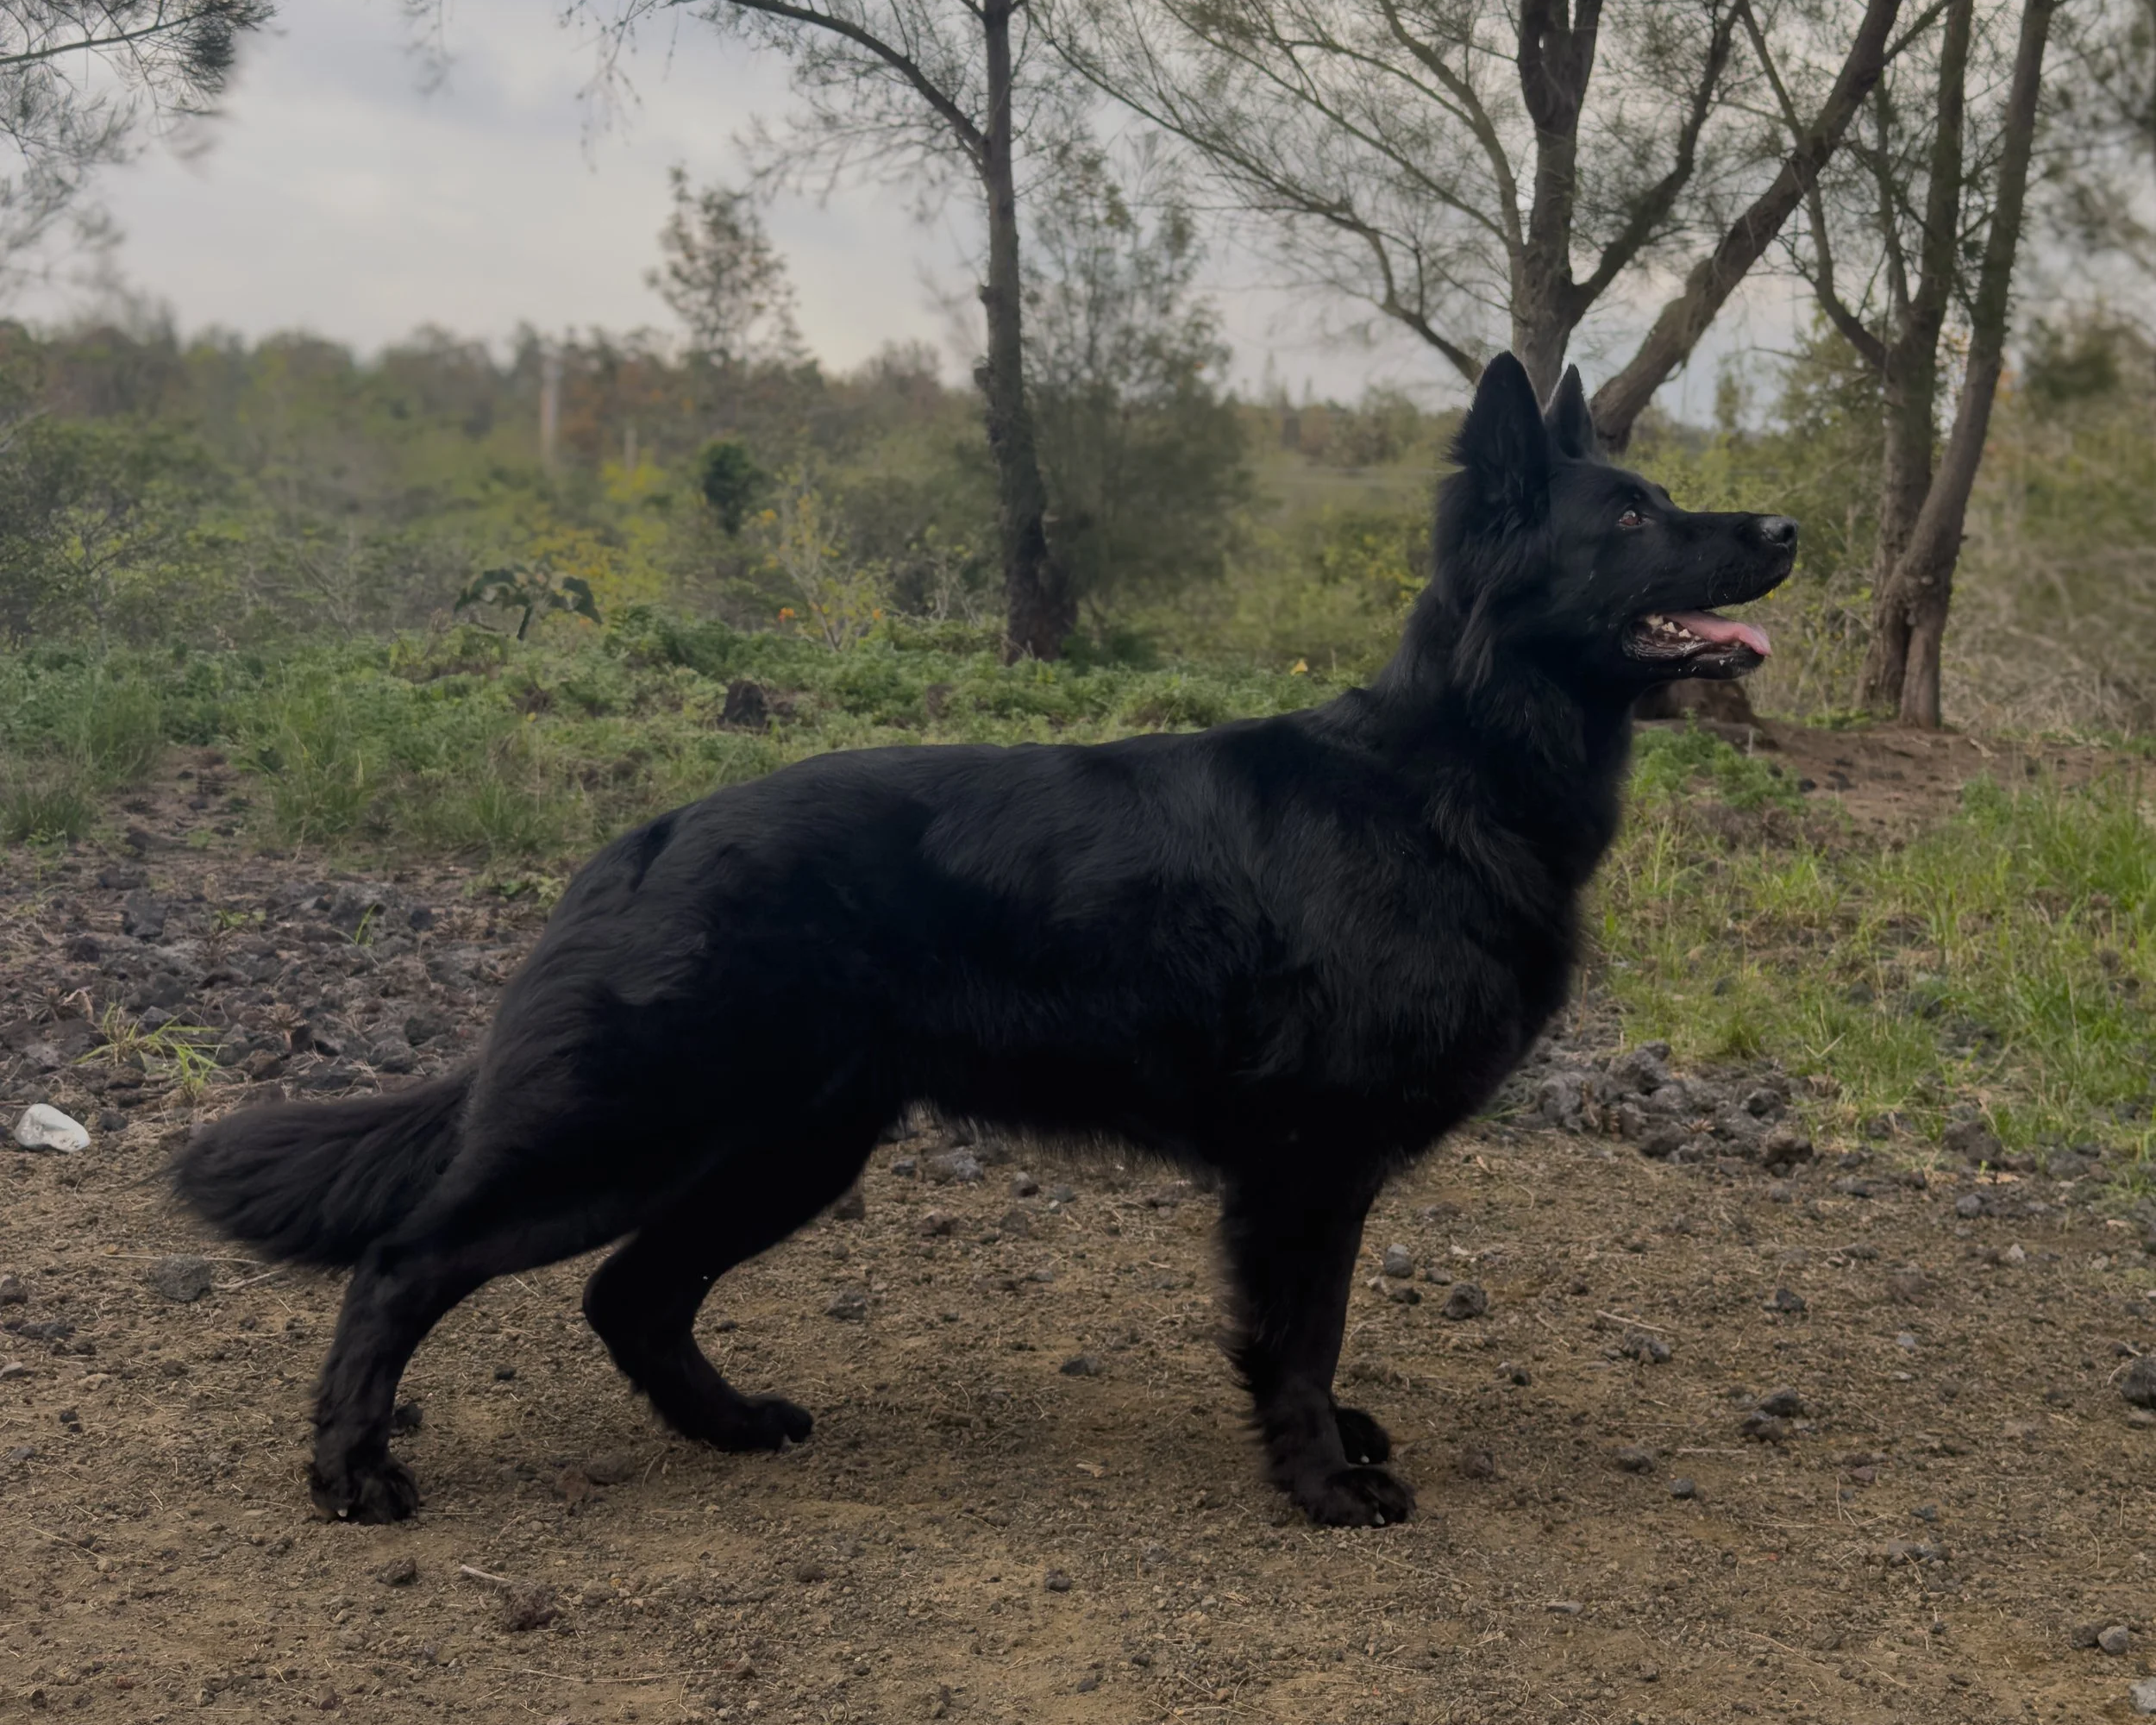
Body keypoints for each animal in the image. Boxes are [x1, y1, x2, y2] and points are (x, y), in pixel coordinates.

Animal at [174, 353, 1795, 1528]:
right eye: (1631, 520)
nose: (1786, 526)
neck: (1451, 771)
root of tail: (647, 840)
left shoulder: (1309, 1174)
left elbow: (1312, 1335)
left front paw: (1333, 1445)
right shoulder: (1305, 1166)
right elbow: (1301, 1335)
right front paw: (1322, 1481)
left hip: (785, 1151)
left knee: (627, 1294)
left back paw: (730, 1426)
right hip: (629, 1135)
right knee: (405, 1264)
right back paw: (352, 1473)